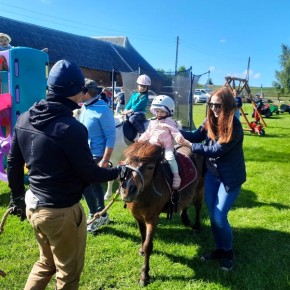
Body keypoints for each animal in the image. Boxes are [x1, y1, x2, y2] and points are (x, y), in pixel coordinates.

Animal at [120, 142, 204, 286]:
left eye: (150, 167)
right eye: (127, 163)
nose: (127, 191)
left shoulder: (152, 219)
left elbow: (148, 245)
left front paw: (144, 275)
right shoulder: (138, 217)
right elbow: (142, 237)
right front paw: (141, 250)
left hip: (199, 189)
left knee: (198, 207)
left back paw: (196, 227)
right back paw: (185, 218)